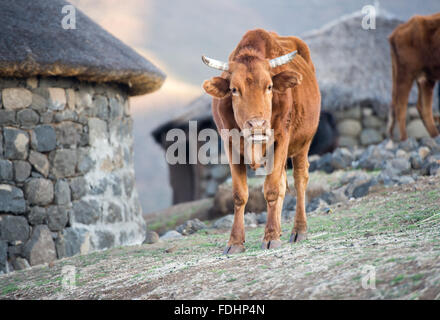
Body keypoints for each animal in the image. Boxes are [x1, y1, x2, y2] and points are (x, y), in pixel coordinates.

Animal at [202, 29, 320, 252]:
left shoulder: (281, 139)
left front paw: (271, 237)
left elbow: (272, 189)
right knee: (283, 183)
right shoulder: (231, 146)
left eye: (270, 86)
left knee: (300, 179)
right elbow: (240, 194)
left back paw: (298, 230)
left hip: (303, 143)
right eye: (234, 89)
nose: (257, 124)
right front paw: (235, 241)